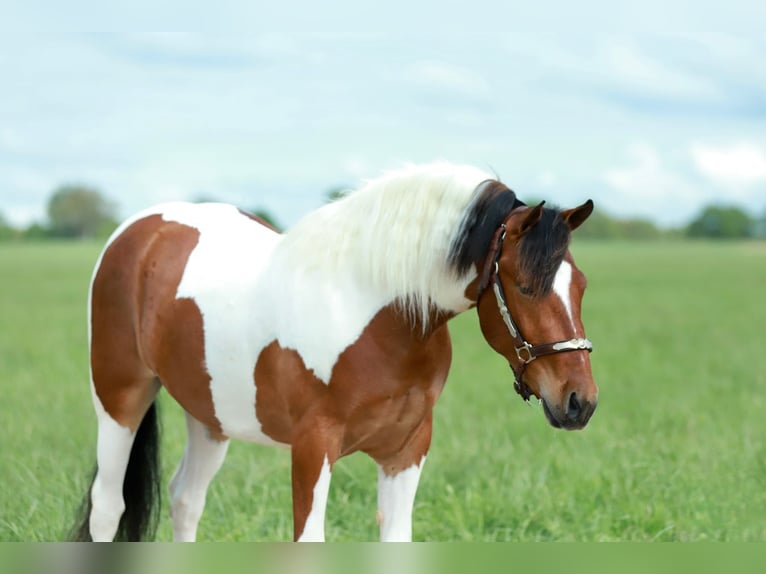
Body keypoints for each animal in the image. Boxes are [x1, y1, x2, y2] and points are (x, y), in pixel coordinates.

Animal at [71, 162, 598, 542]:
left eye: (581, 286)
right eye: (525, 287)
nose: (580, 402)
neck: (376, 311)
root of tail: (139, 230)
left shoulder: (406, 451)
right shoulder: (312, 447)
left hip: (210, 416)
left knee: (185, 500)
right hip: (118, 399)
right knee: (108, 507)